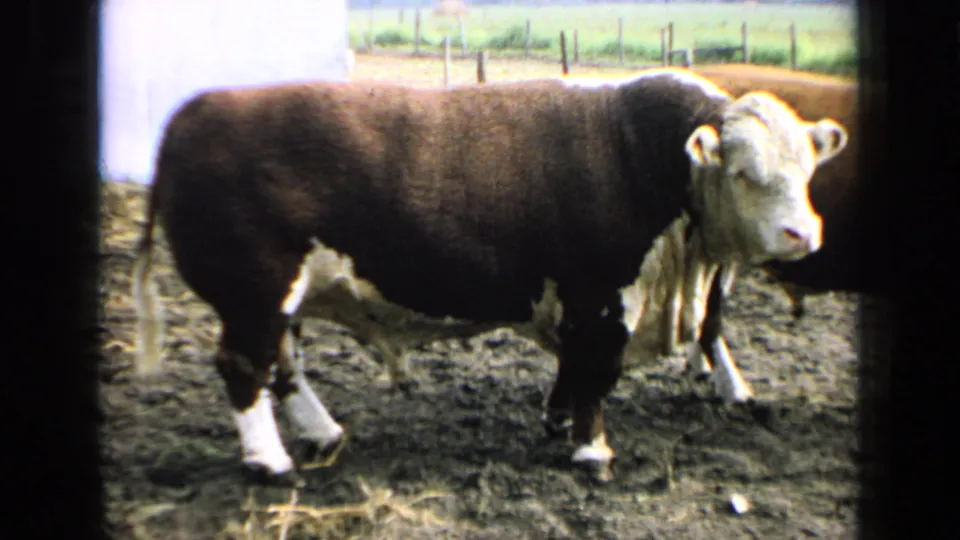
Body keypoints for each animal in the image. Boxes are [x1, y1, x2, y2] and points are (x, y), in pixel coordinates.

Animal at [130, 68, 849, 487]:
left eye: (808, 170)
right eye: (746, 173)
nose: (805, 234)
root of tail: (196, 109)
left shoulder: (576, 299)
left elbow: (571, 369)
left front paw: (558, 421)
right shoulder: (601, 294)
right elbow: (595, 374)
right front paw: (592, 450)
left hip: (283, 298)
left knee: (285, 365)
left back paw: (321, 432)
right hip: (254, 291)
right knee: (244, 368)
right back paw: (270, 461)